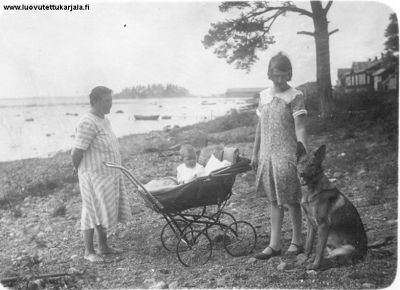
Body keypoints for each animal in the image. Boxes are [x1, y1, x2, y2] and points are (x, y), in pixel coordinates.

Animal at [296, 142, 368, 270]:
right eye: (301, 163)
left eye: (312, 164)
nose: (301, 173)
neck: (310, 192)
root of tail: (365, 253)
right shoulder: (311, 223)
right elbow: (308, 244)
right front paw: (305, 258)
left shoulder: (323, 225)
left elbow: (318, 249)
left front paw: (315, 265)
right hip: (330, 244)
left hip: (345, 248)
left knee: (339, 259)